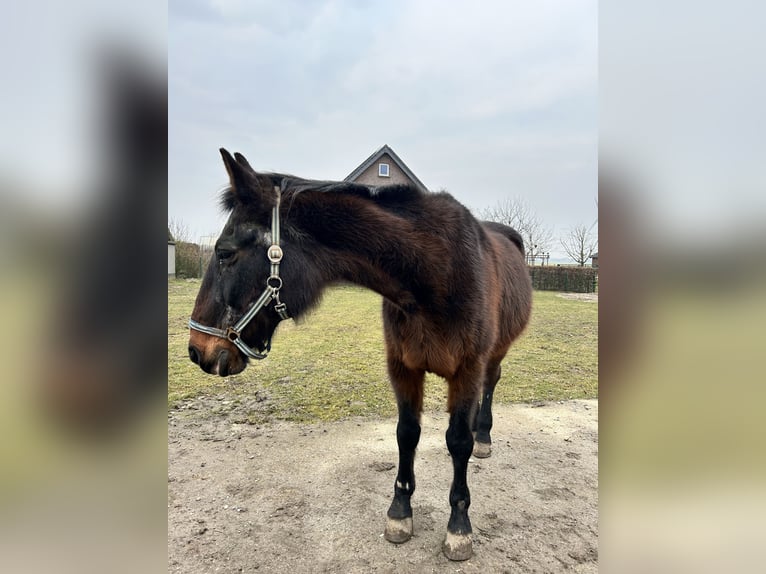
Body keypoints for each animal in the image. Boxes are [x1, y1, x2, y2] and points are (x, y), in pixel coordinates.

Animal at [188, 151, 536, 564]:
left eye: (225, 253)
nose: (197, 349)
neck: (435, 274)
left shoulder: (467, 370)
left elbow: (458, 441)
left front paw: (459, 526)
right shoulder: (403, 368)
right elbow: (407, 434)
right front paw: (400, 512)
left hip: (495, 354)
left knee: (490, 387)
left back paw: (484, 436)